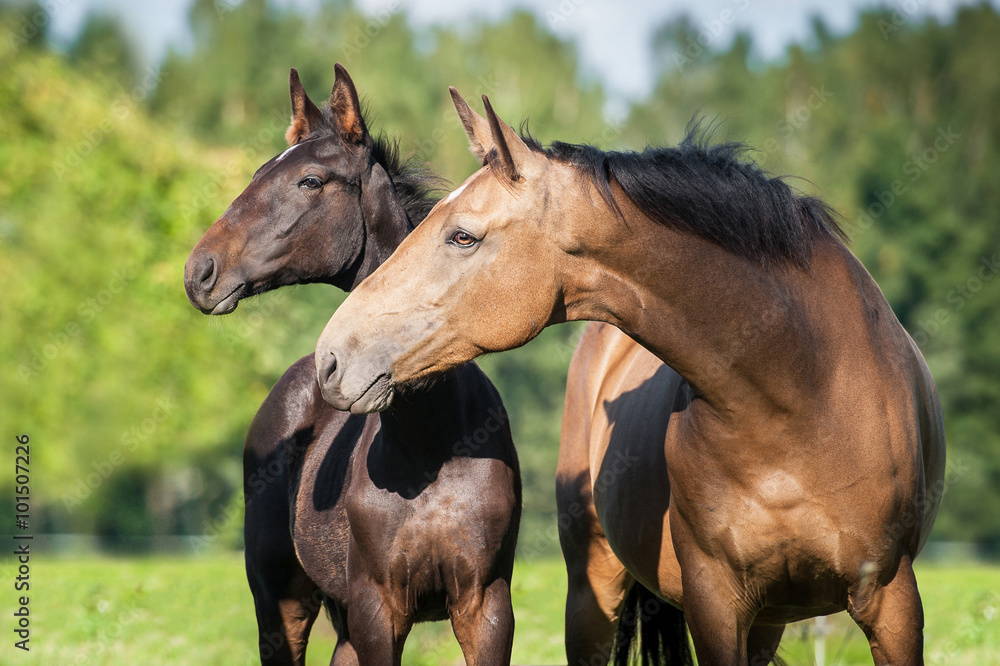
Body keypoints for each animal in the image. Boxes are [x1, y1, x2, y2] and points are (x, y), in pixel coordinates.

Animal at [183, 67, 521, 666]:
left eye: (310, 181)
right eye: (259, 172)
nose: (200, 272)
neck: (433, 441)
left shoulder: (485, 605)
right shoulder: (377, 609)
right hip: (281, 604)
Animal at [311, 90, 947, 666]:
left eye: (462, 235)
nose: (330, 358)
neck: (804, 387)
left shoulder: (891, 601)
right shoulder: (717, 607)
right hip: (594, 597)